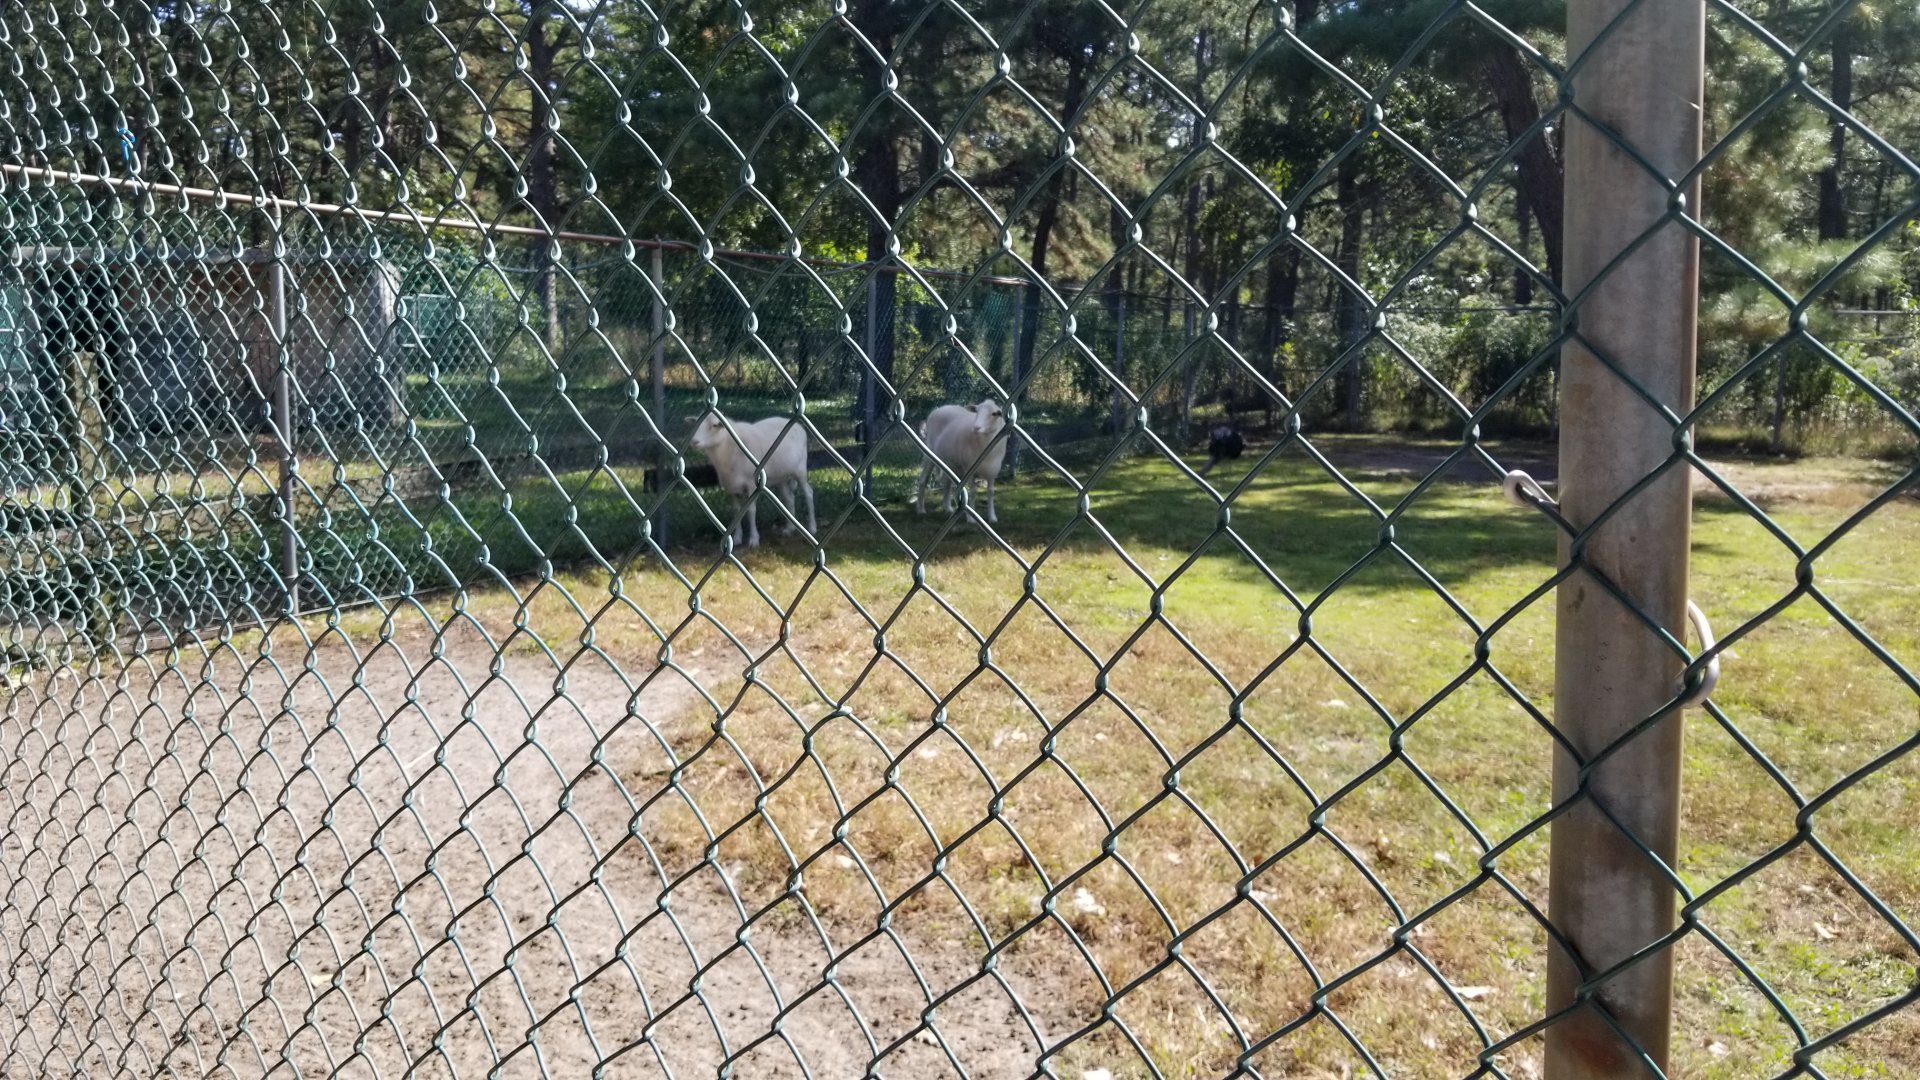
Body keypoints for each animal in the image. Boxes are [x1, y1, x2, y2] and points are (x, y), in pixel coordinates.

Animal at [687, 410, 816, 548]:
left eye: (715, 425)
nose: (694, 442)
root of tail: (799, 426)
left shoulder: (752, 485)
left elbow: (751, 511)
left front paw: (754, 539)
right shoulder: (731, 487)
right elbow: (736, 512)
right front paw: (737, 538)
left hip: (800, 470)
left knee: (808, 493)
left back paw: (812, 528)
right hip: (780, 477)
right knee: (789, 499)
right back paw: (789, 529)